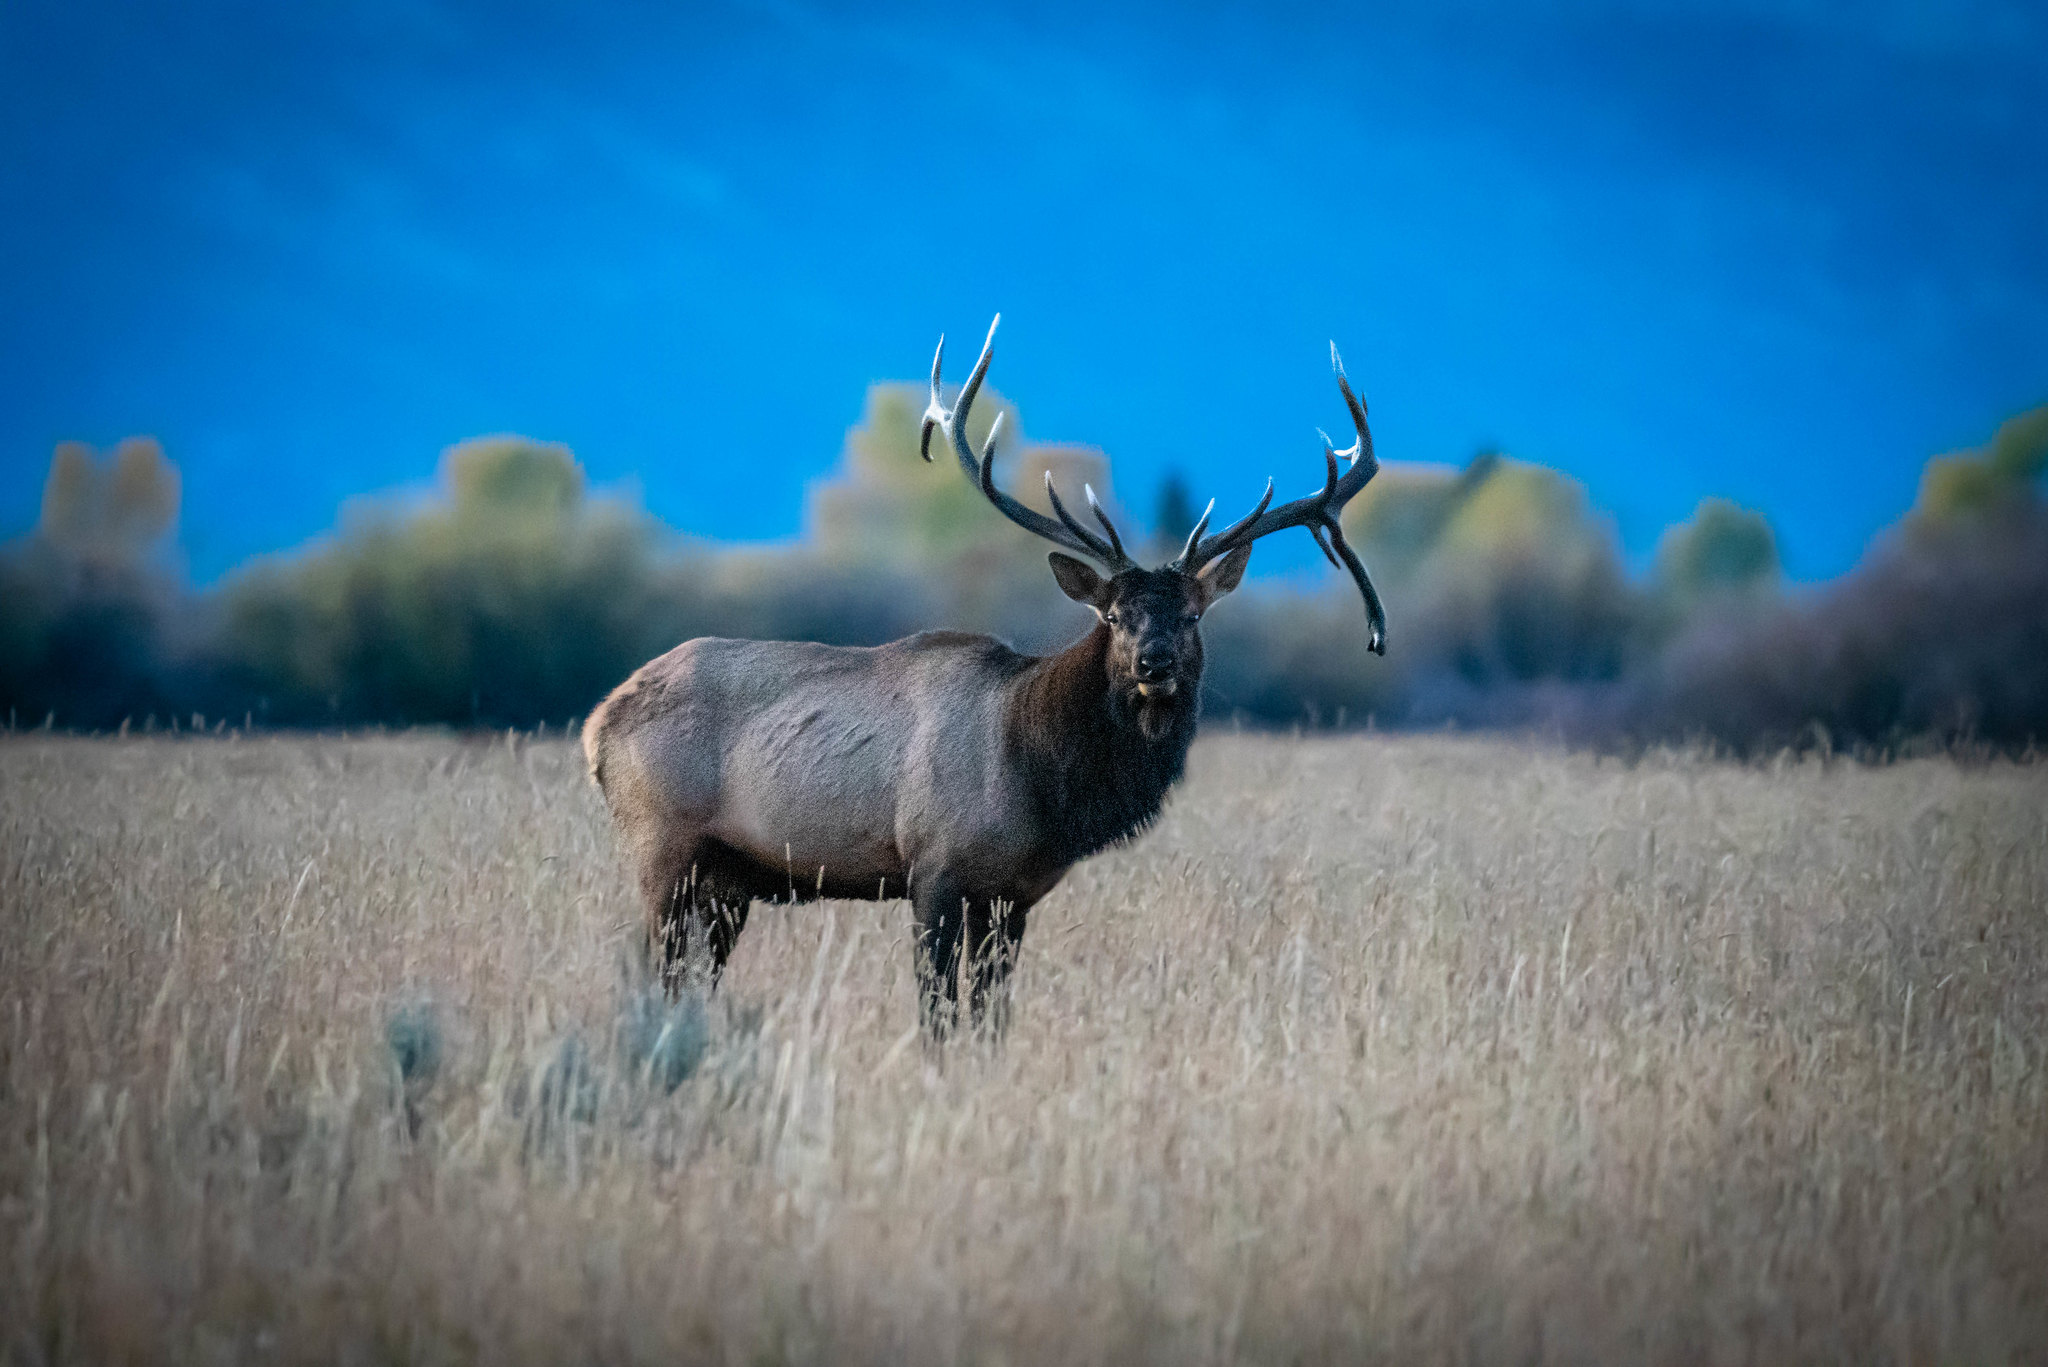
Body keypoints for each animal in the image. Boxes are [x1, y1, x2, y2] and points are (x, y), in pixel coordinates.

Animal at [585, 317, 1384, 1037]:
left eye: (1191, 615)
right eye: (1115, 615)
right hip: (662, 847)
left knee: (690, 980)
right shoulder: (934, 870)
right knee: (653, 970)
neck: (1041, 780)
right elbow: (938, 1014)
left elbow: (991, 1016)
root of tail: (597, 723)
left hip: (726, 882)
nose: (1154, 664)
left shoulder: (1014, 896)